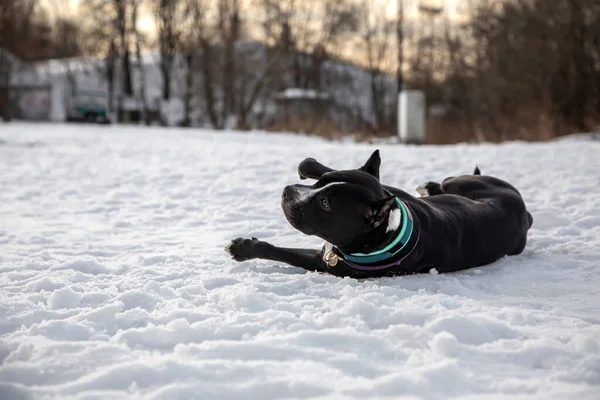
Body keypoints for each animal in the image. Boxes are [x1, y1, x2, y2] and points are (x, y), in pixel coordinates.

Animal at [226, 150, 536, 278]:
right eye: (319, 186)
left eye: (325, 203)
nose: (287, 191)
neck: (388, 231)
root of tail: (525, 214)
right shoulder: (384, 190)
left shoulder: (326, 262)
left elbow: (281, 252)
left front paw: (242, 248)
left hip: (459, 182)